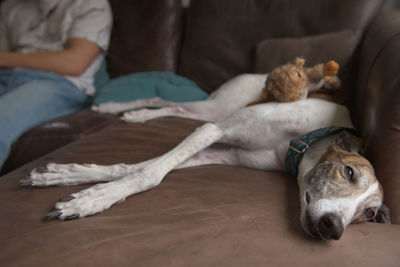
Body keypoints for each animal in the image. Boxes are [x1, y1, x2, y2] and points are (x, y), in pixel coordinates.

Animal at [20, 72, 390, 242]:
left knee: (176, 108)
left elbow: (135, 167)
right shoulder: (215, 130)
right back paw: (116, 108)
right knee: (165, 100)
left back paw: (136, 116)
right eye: (349, 173)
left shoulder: (224, 151)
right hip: (218, 109)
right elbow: (150, 173)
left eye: (369, 214)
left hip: (212, 114)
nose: (334, 228)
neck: (300, 143)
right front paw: (88, 201)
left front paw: (67, 177)